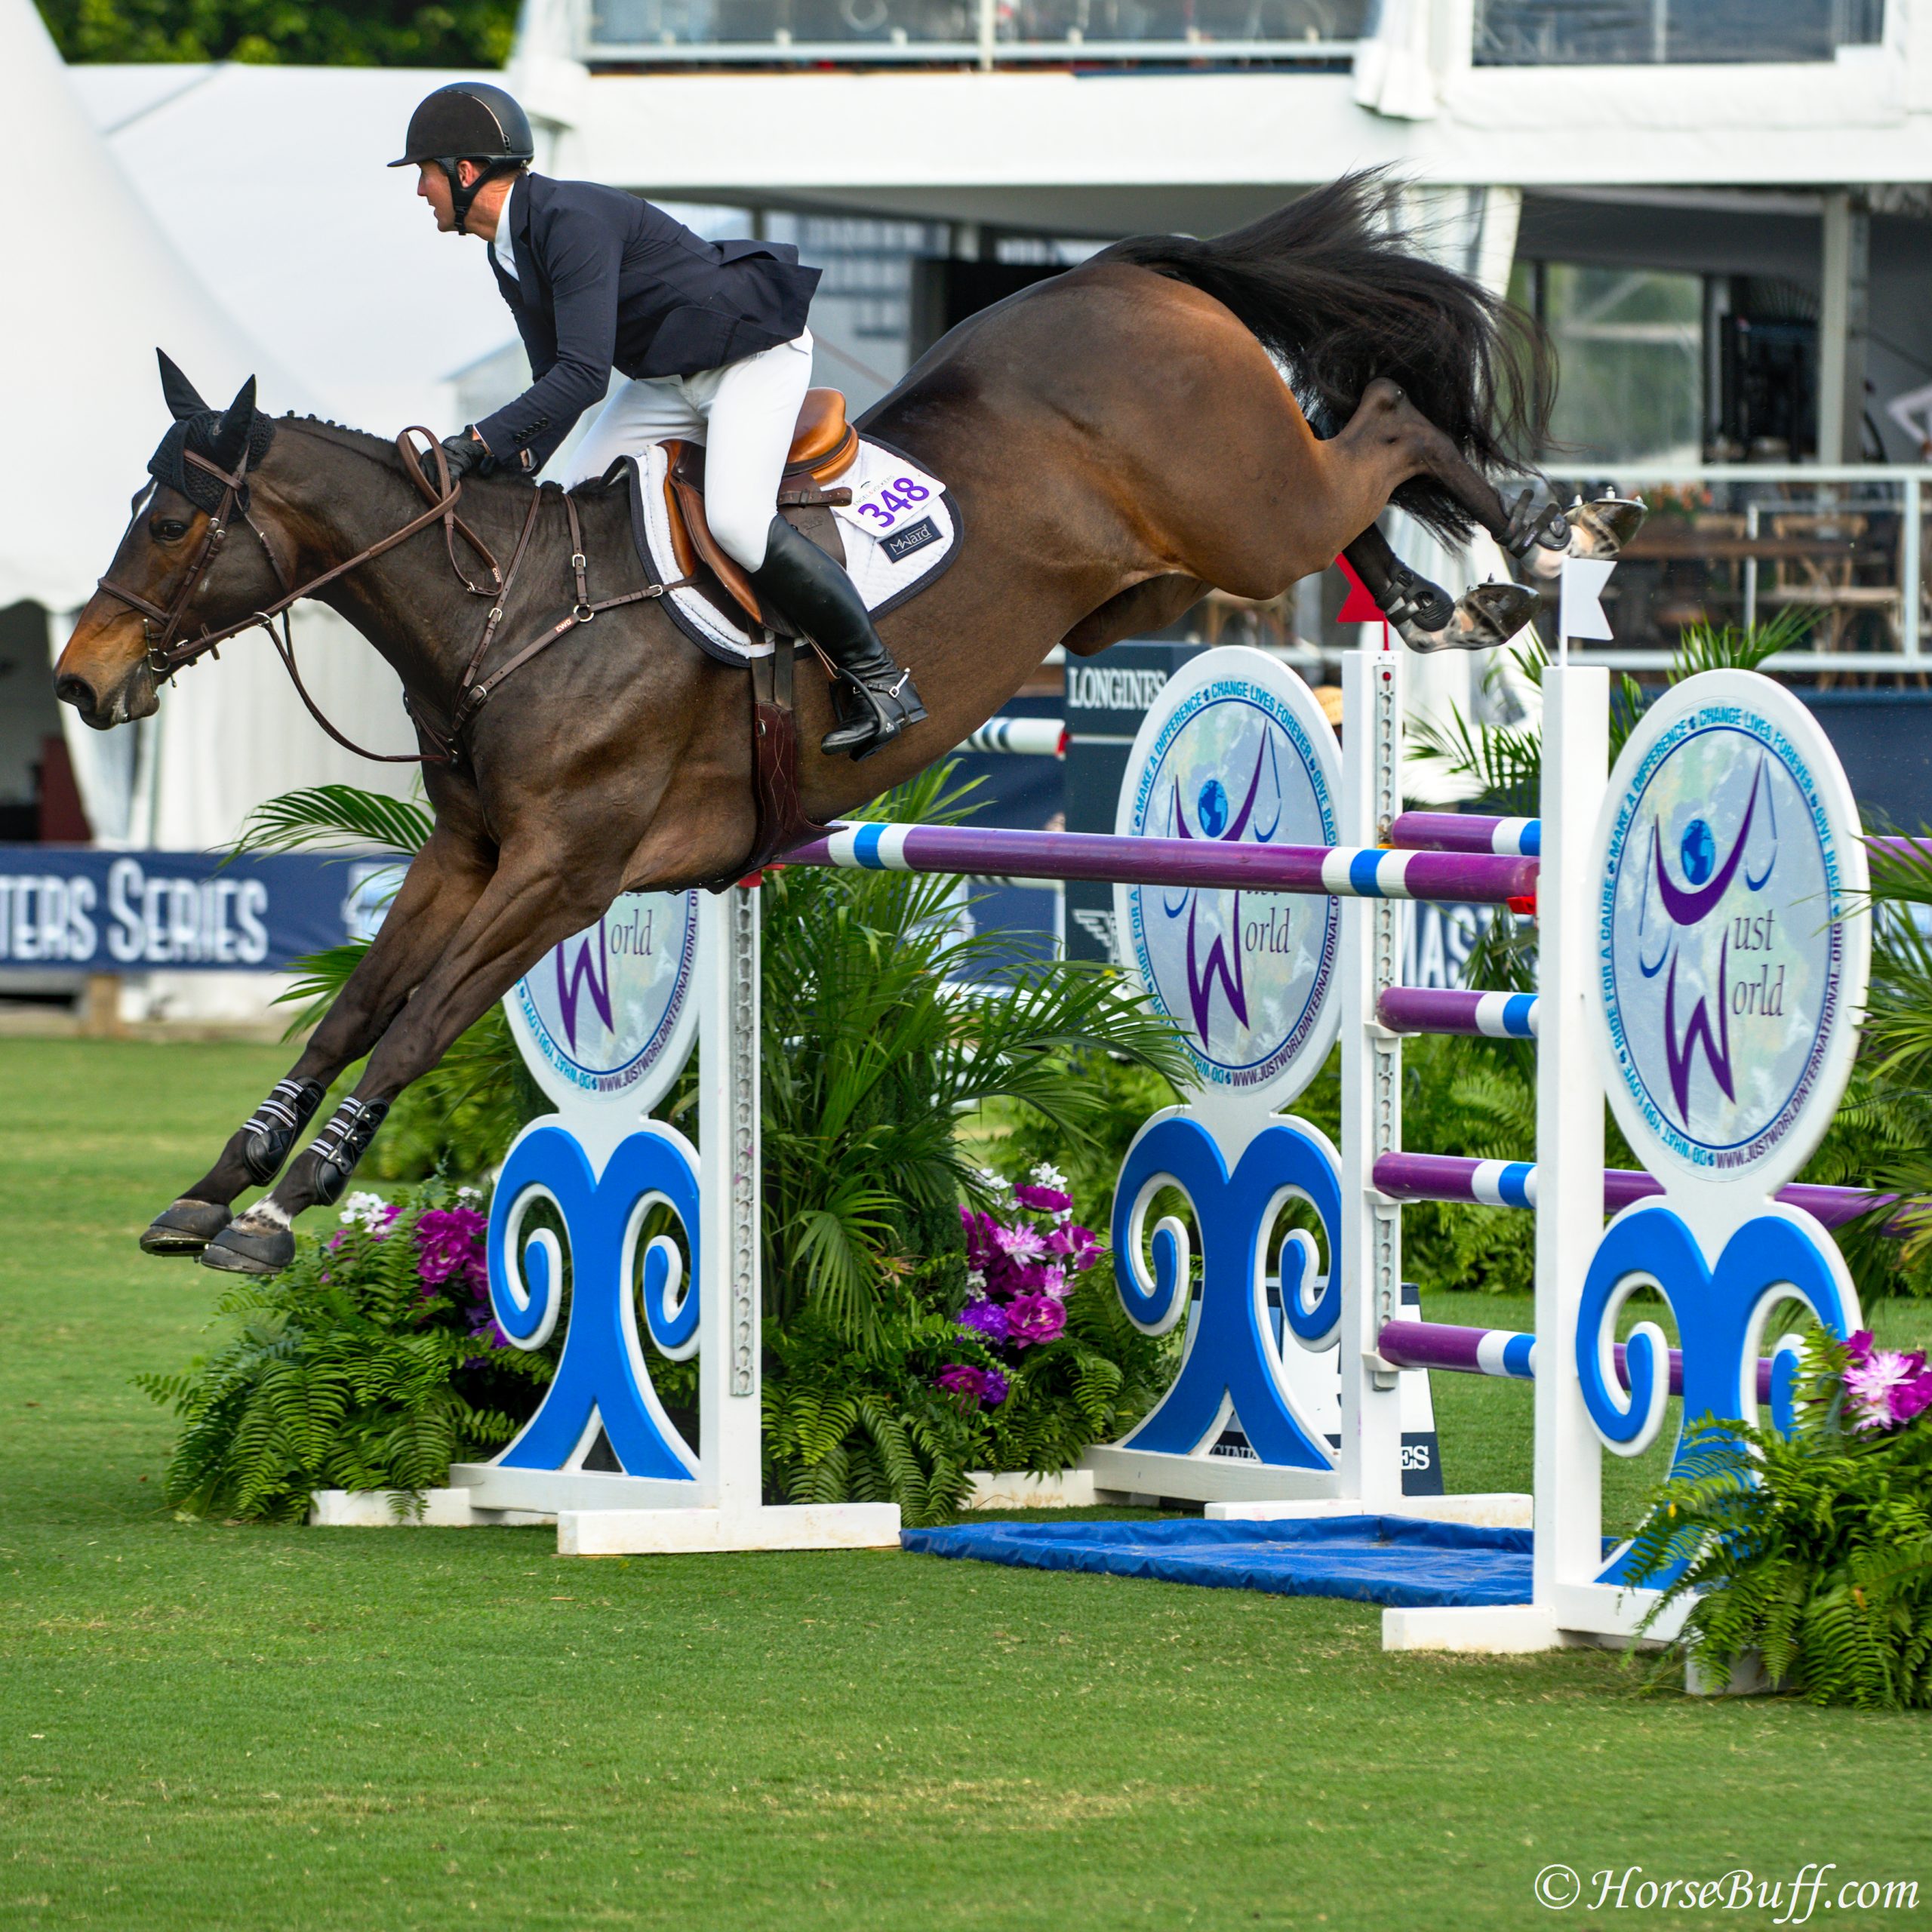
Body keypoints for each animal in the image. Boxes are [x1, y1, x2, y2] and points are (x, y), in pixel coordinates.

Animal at [53, 174, 1592, 1275]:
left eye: (175, 521)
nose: (78, 679)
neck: (505, 620)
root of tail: (1120, 271)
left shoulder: (564, 871)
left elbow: (423, 1022)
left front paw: (287, 1207)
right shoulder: (469, 856)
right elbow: (355, 1009)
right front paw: (219, 1188)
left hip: (1236, 503)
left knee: (1385, 419)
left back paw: (1545, 536)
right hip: (1170, 570)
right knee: (1354, 484)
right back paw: (1443, 599)